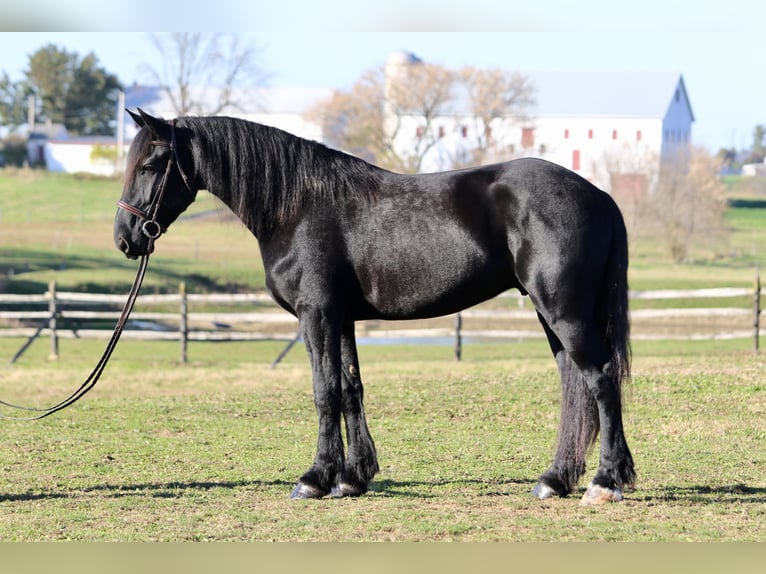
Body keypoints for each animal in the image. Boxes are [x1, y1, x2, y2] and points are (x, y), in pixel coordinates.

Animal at [114, 108, 635, 505]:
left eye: (150, 165)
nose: (126, 238)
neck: (297, 206)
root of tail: (600, 195)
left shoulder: (317, 316)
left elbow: (324, 391)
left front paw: (314, 479)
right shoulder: (342, 319)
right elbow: (350, 389)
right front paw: (352, 477)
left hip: (563, 310)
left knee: (600, 379)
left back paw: (604, 482)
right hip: (552, 313)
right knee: (573, 383)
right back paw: (556, 479)